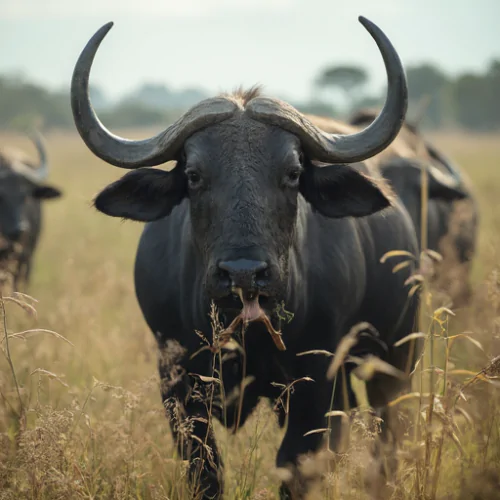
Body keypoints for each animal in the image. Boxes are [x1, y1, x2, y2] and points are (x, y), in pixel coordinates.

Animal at [71, 17, 422, 498]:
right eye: (193, 175)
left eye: (293, 173)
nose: (243, 274)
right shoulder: (177, 383)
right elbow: (206, 470)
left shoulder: (316, 384)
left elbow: (295, 469)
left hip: (396, 359)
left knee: (387, 437)